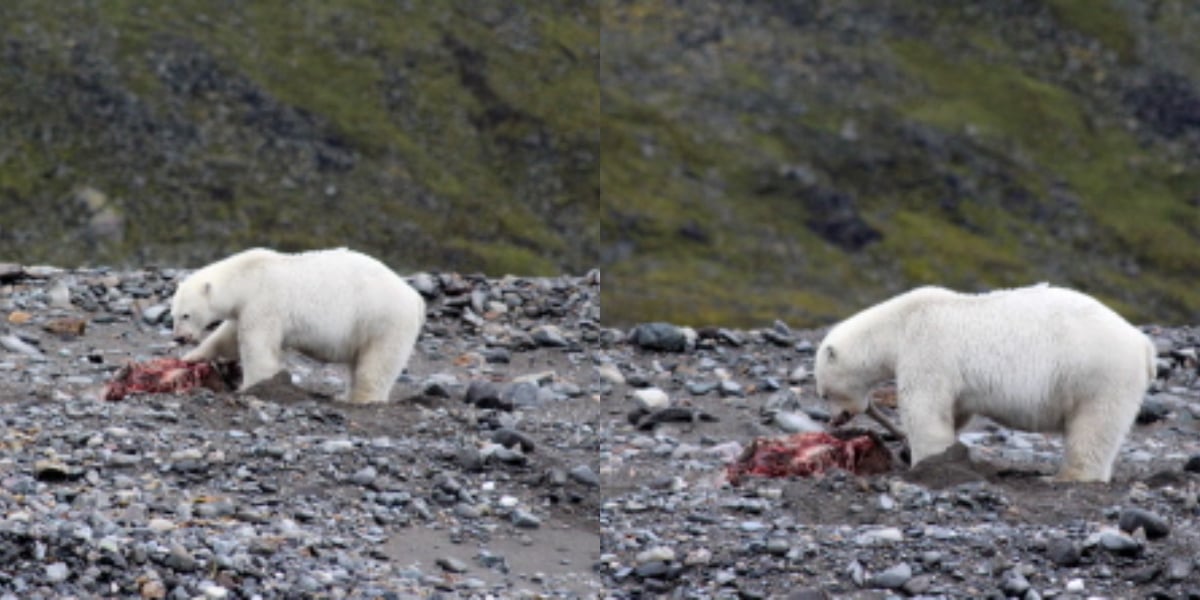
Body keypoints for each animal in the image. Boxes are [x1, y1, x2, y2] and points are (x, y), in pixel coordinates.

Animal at [171, 246, 427, 405]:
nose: (179, 338)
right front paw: (192, 357)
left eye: (186, 315)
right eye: (172, 315)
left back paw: (360, 399)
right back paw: (343, 397)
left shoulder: (264, 303)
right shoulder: (245, 308)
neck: (248, 276)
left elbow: (256, 346)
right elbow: (228, 338)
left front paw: (251, 386)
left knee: (377, 364)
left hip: (382, 321)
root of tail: (414, 298)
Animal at [811, 283, 1156, 484]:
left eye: (824, 393)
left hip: (1098, 374)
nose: (835, 419)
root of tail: (1142, 344)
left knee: (1094, 427)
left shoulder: (926, 348)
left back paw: (1067, 476)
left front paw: (924, 463)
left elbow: (925, 408)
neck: (899, 324)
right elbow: (955, 411)